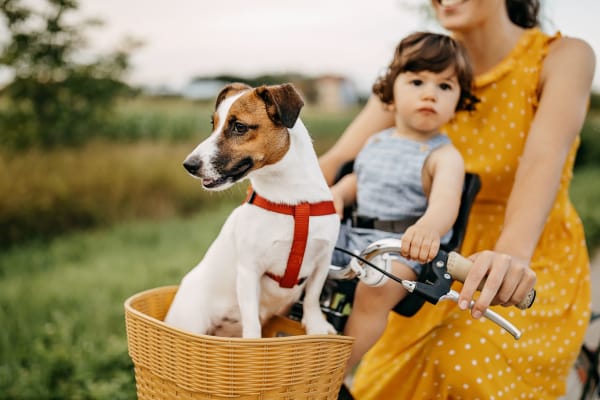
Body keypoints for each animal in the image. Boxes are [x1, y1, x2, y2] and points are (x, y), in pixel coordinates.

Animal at [163, 83, 342, 340]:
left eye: (239, 127)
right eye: (213, 124)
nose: (189, 165)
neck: (291, 200)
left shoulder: (323, 260)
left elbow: (313, 298)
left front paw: (316, 327)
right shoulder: (249, 271)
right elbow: (251, 322)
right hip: (190, 323)